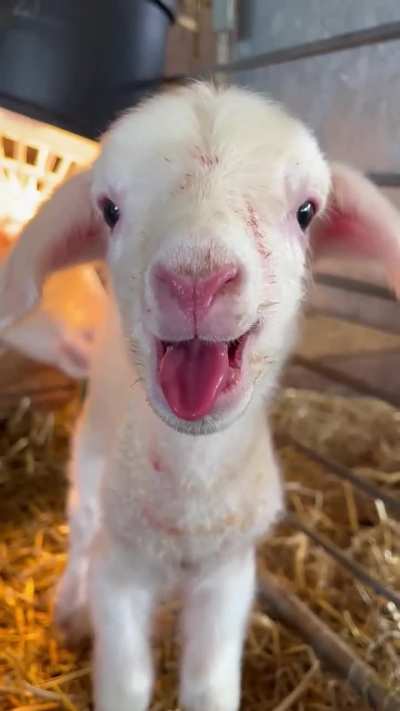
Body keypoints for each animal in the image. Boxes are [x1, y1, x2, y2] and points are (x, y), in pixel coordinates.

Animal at [1, 82, 399, 711]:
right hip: (91, 459)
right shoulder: (120, 570)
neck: (189, 498)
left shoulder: (228, 574)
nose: (195, 280)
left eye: (306, 211)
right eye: (109, 210)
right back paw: (68, 608)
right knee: (82, 524)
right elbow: (126, 683)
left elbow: (209, 685)